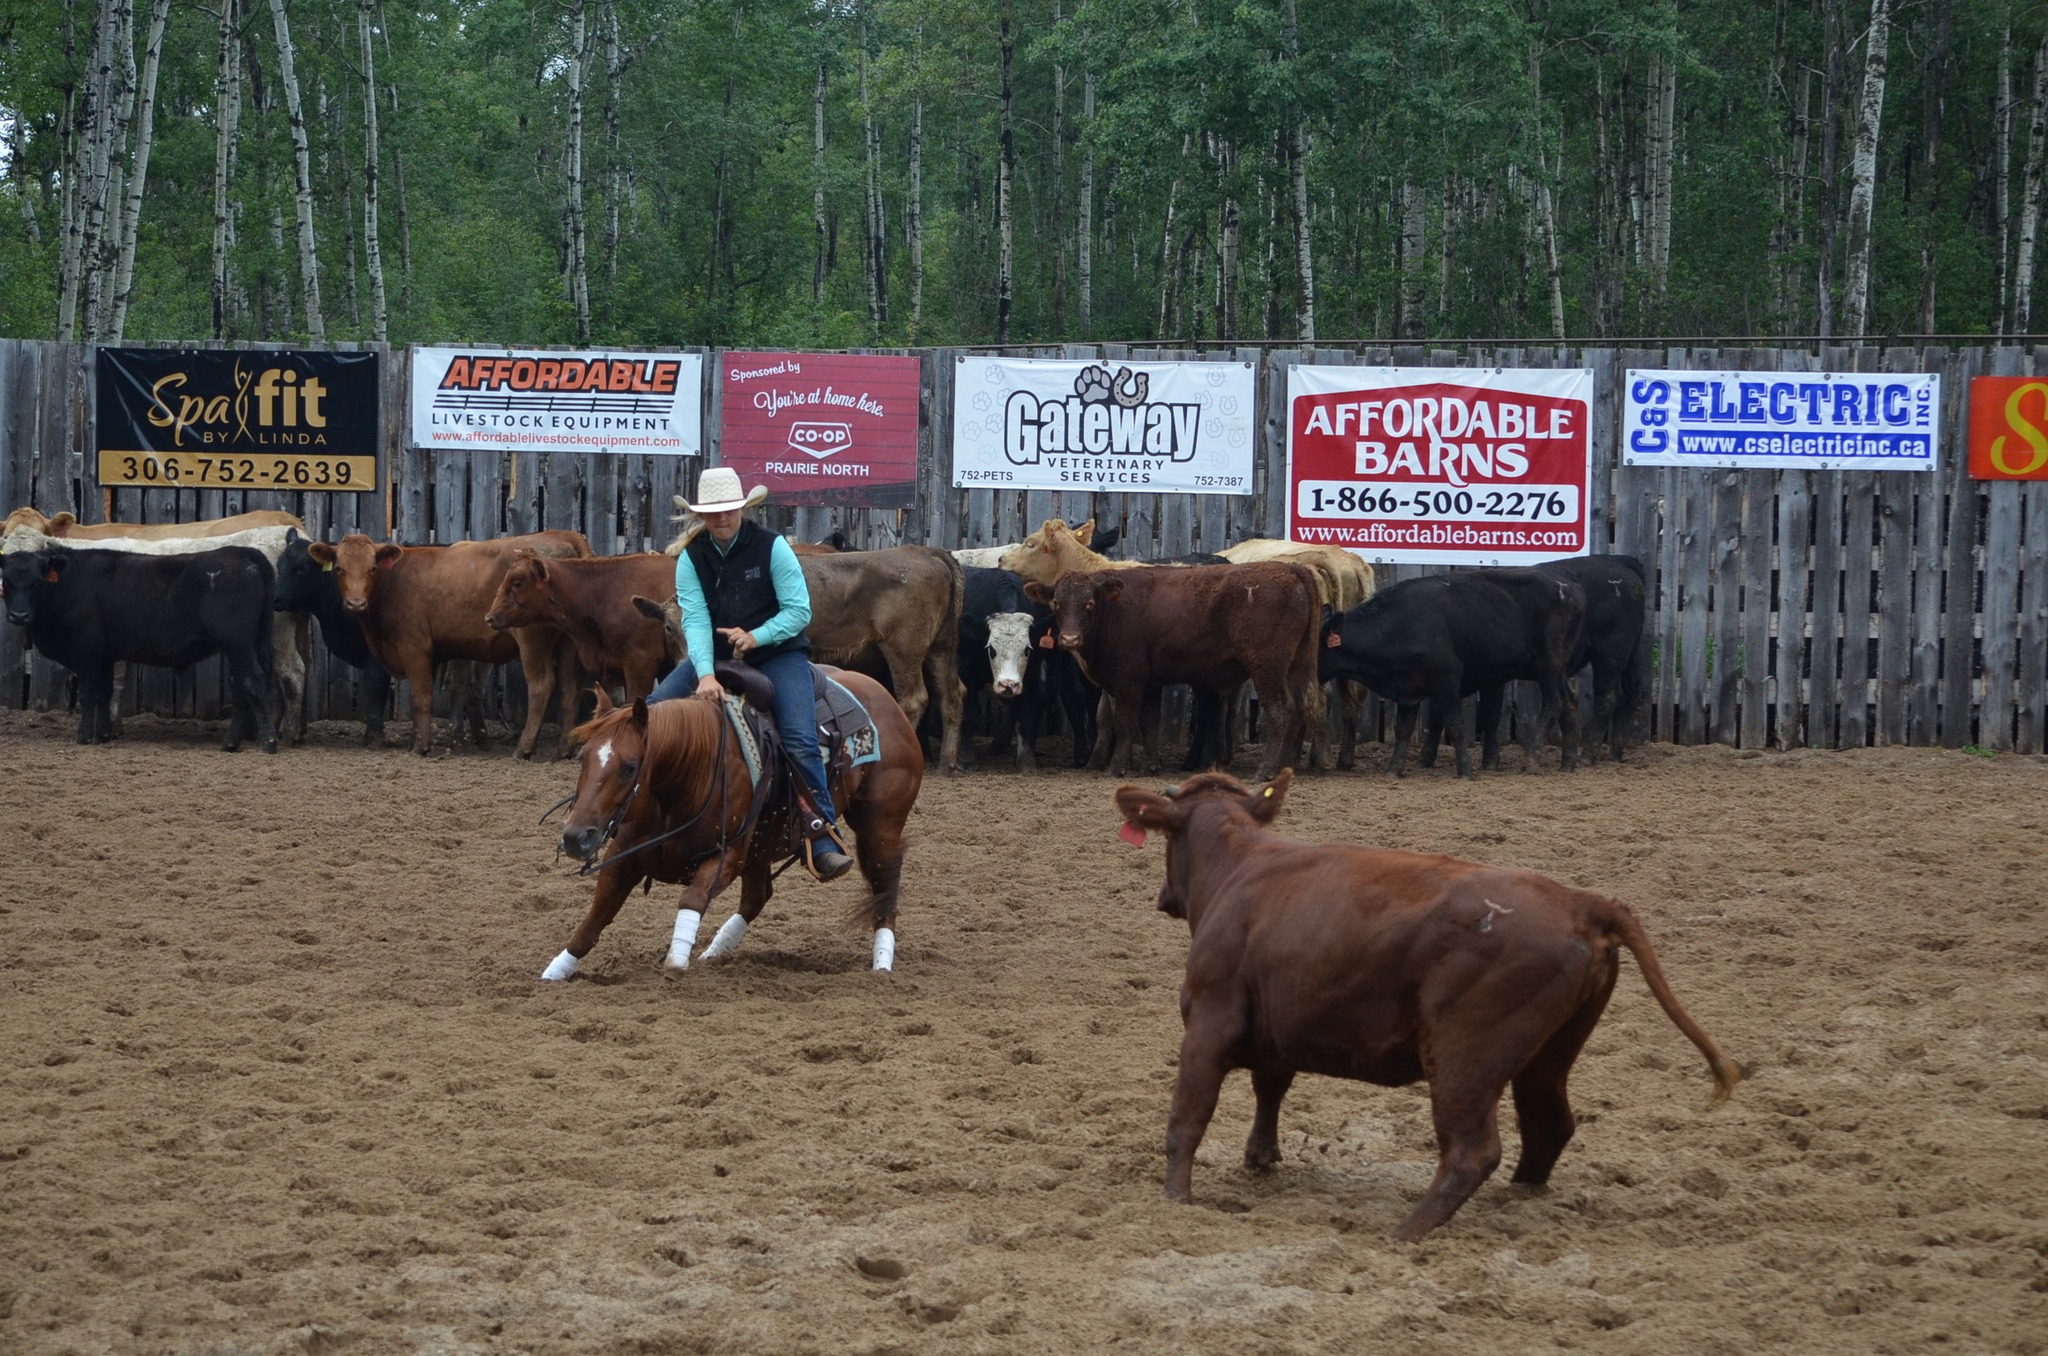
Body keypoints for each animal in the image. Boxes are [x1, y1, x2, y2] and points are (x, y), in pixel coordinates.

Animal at [539, 669, 924, 980]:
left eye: (630, 767)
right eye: (582, 757)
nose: (575, 837)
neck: (689, 771)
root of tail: (885, 698)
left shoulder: (727, 856)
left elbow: (692, 899)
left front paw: (676, 960)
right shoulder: (624, 854)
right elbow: (597, 915)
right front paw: (556, 970)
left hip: (880, 825)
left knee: (885, 883)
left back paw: (882, 964)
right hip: (762, 844)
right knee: (757, 896)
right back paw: (715, 950)